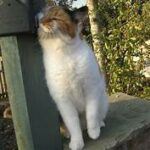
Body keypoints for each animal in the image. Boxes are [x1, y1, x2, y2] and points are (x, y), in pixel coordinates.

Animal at [37, 5, 108, 150]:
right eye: (43, 16)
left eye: (54, 17)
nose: (40, 22)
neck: (64, 54)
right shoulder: (63, 100)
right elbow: (72, 123)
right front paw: (76, 142)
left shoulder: (91, 89)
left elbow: (91, 114)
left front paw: (94, 132)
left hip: (103, 100)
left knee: (98, 115)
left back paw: (99, 124)